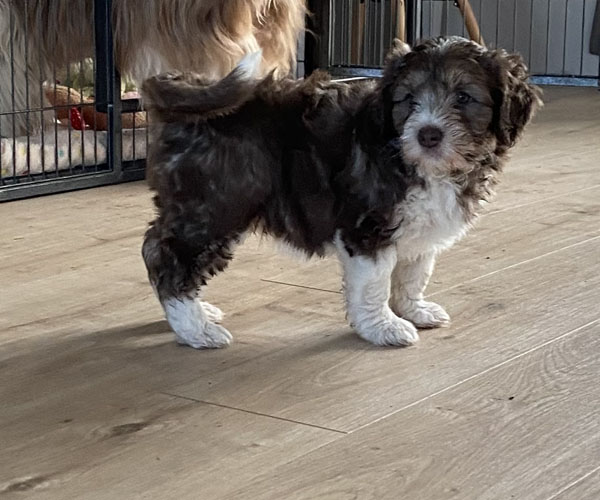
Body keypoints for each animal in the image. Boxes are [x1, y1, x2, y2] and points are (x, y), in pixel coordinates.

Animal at [140, 36, 542, 349]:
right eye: (408, 99)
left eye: (463, 98)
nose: (428, 134)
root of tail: (189, 86)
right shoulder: (368, 227)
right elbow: (375, 284)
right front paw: (385, 328)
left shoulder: (419, 227)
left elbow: (414, 271)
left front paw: (416, 310)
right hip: (217, 204)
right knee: (167, 257)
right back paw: (196, 329)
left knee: (158, 247)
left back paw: (195, 313)